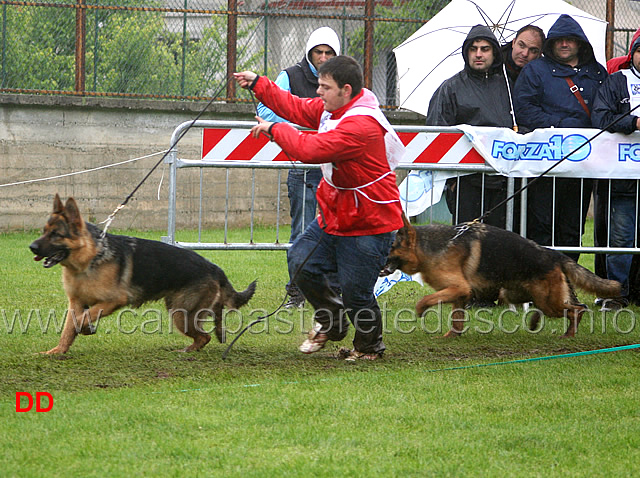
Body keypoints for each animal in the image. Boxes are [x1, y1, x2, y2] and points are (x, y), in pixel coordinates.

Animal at [29, 194, 255, 354]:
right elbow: (70, 327)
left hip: (180, 313)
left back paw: (186, 352)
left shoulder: (114, 300)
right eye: (43, 231)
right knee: (204, 336)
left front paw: (85, 328)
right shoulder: (75, 302)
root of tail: (216, 268)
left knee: (204, 337)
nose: (32, 247)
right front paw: (57, 351)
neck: (89, 258)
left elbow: (84, 317)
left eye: (56, 234)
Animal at [382, 215, 624, 338]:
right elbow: (457, 318)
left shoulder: (458, 288)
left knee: (577, 309)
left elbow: (426, 300)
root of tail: (553, 254)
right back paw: (535, 322)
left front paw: (421, 310)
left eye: (390, 247)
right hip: (516, 294)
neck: (431, 246)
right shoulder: (460, 294)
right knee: (563, 306)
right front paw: (452, 337)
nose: (378, 262)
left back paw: (568, 335)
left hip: (548, 301)